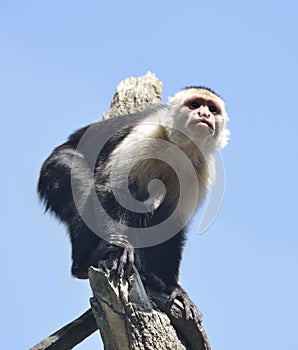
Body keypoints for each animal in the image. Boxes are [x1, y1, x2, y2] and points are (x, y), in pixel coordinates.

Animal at [36, 87, 228, 320]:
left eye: (212, 109)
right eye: (194, 105)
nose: (204, 114)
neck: (178, 146)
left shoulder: (200, 168)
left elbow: (171, 223)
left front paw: (173, 287)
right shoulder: (148, 134)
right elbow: (111, 187)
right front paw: (120, 246)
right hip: (53, 167)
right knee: (80, 180)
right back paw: (84, 262)